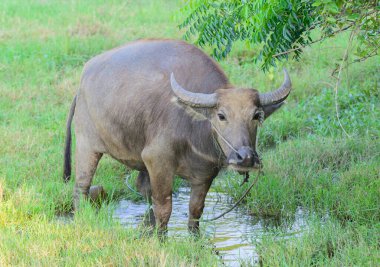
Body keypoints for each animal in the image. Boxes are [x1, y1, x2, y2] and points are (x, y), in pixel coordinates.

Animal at [63, 38, 292, 234]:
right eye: (221, 116)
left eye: (256, 116)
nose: (245, 157)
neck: (195, 128)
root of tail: (83, 80)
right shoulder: (157, 160)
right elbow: (165, 208)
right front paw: (161, 237)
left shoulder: (205, 175)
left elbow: (196, 210)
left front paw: (194, 235)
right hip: (86, 145)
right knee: (81, 187)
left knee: (143, 189)